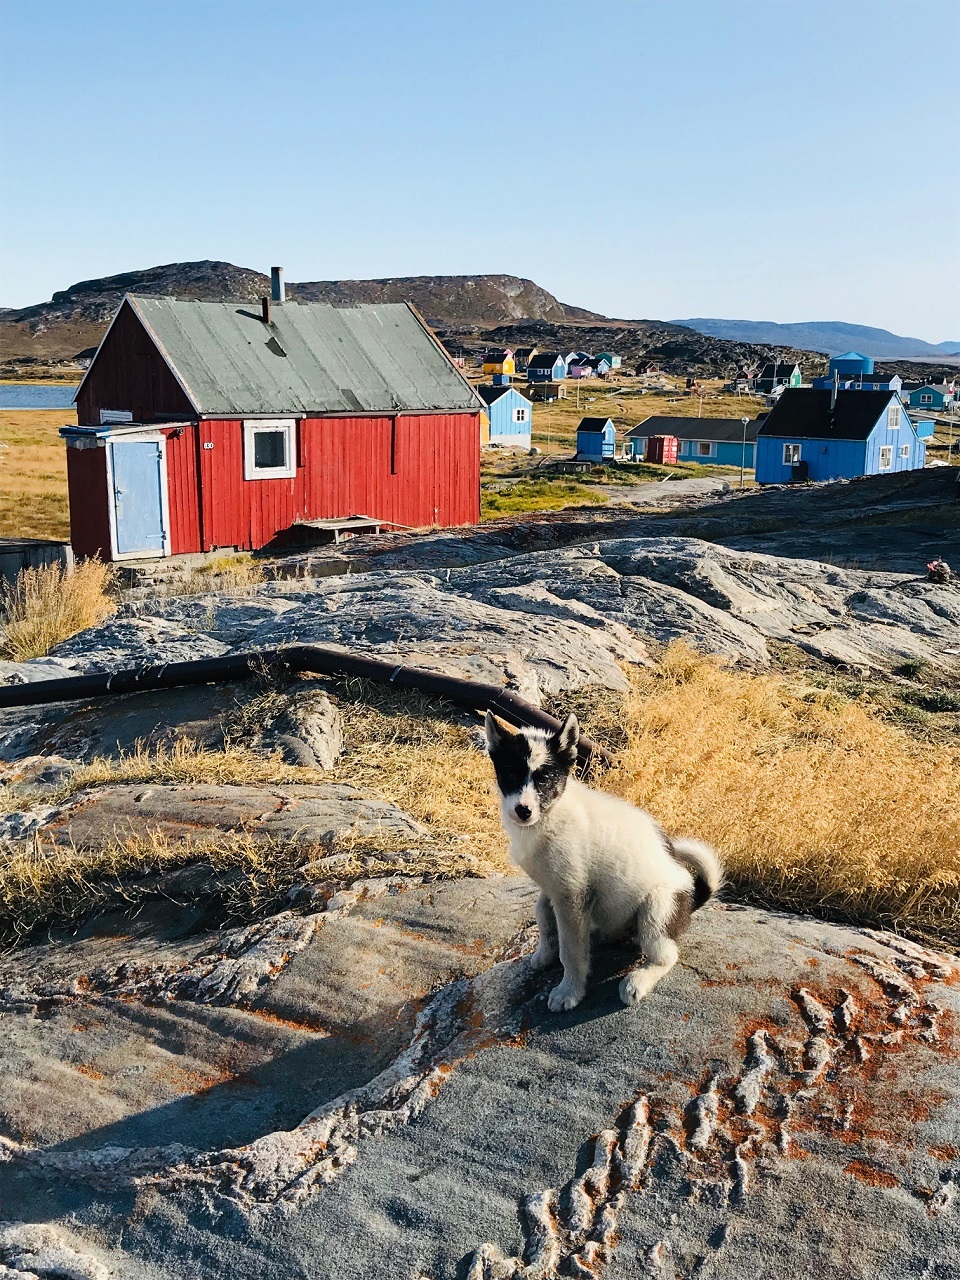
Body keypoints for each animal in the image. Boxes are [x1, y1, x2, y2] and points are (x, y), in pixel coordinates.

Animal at [488, 711, 721, 1008]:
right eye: (510, 773)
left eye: (545, 778)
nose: (523, 811)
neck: (551, 815)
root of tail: (692, 898)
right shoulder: (552, 888)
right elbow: (543, 916)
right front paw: (545, 953)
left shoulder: (572, 896)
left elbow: (571, 951)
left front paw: (569, 991)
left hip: (658, 908)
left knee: (666, 955)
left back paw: (637, 981)